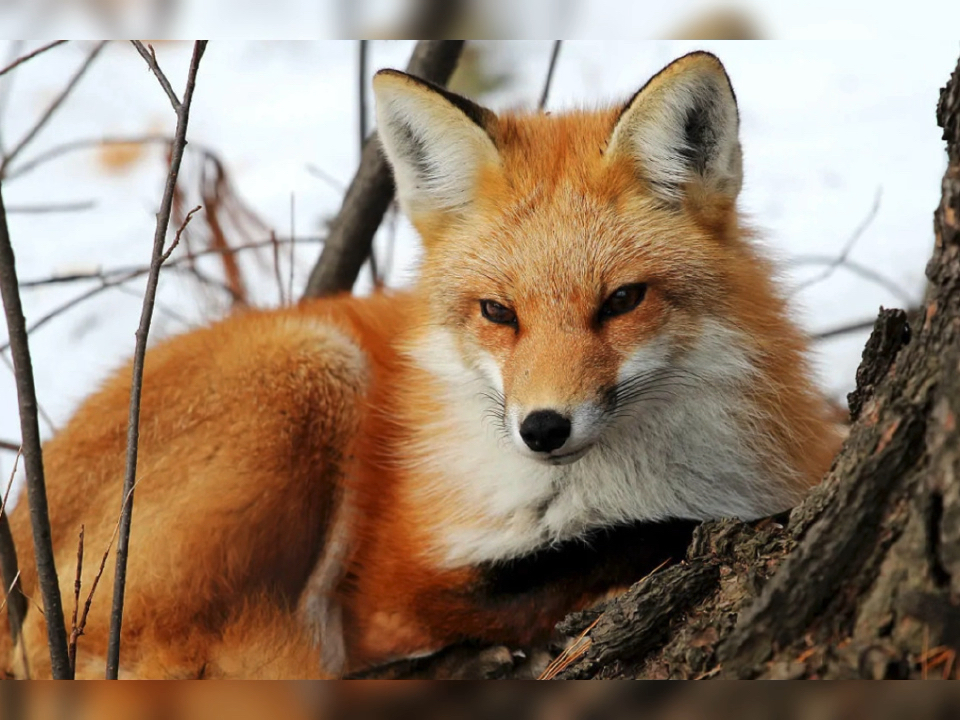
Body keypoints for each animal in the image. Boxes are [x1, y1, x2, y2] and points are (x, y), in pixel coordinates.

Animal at [1, 50, 840, 676]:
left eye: (622, 301)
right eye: (498, 312)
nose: (542, 427)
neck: (607, 490)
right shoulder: (396, 585)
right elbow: (586, 560)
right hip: (311, 372)